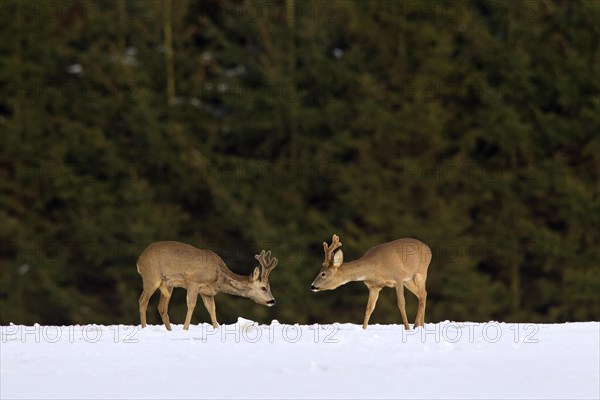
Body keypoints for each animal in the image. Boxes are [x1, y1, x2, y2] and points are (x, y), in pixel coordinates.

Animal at [137, 241, 278, 332]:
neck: (218, 274)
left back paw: (169, 331)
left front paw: (216, 328)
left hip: (168, 284)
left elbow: (212, 309)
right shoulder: (193, 282)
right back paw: (144, 328)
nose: (272, 301)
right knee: (143, 301)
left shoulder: (207, 292)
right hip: (151, 277)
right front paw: (185, 329)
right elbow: (191, 305)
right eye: (264, 288)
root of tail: (139, 261)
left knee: (162, 307)